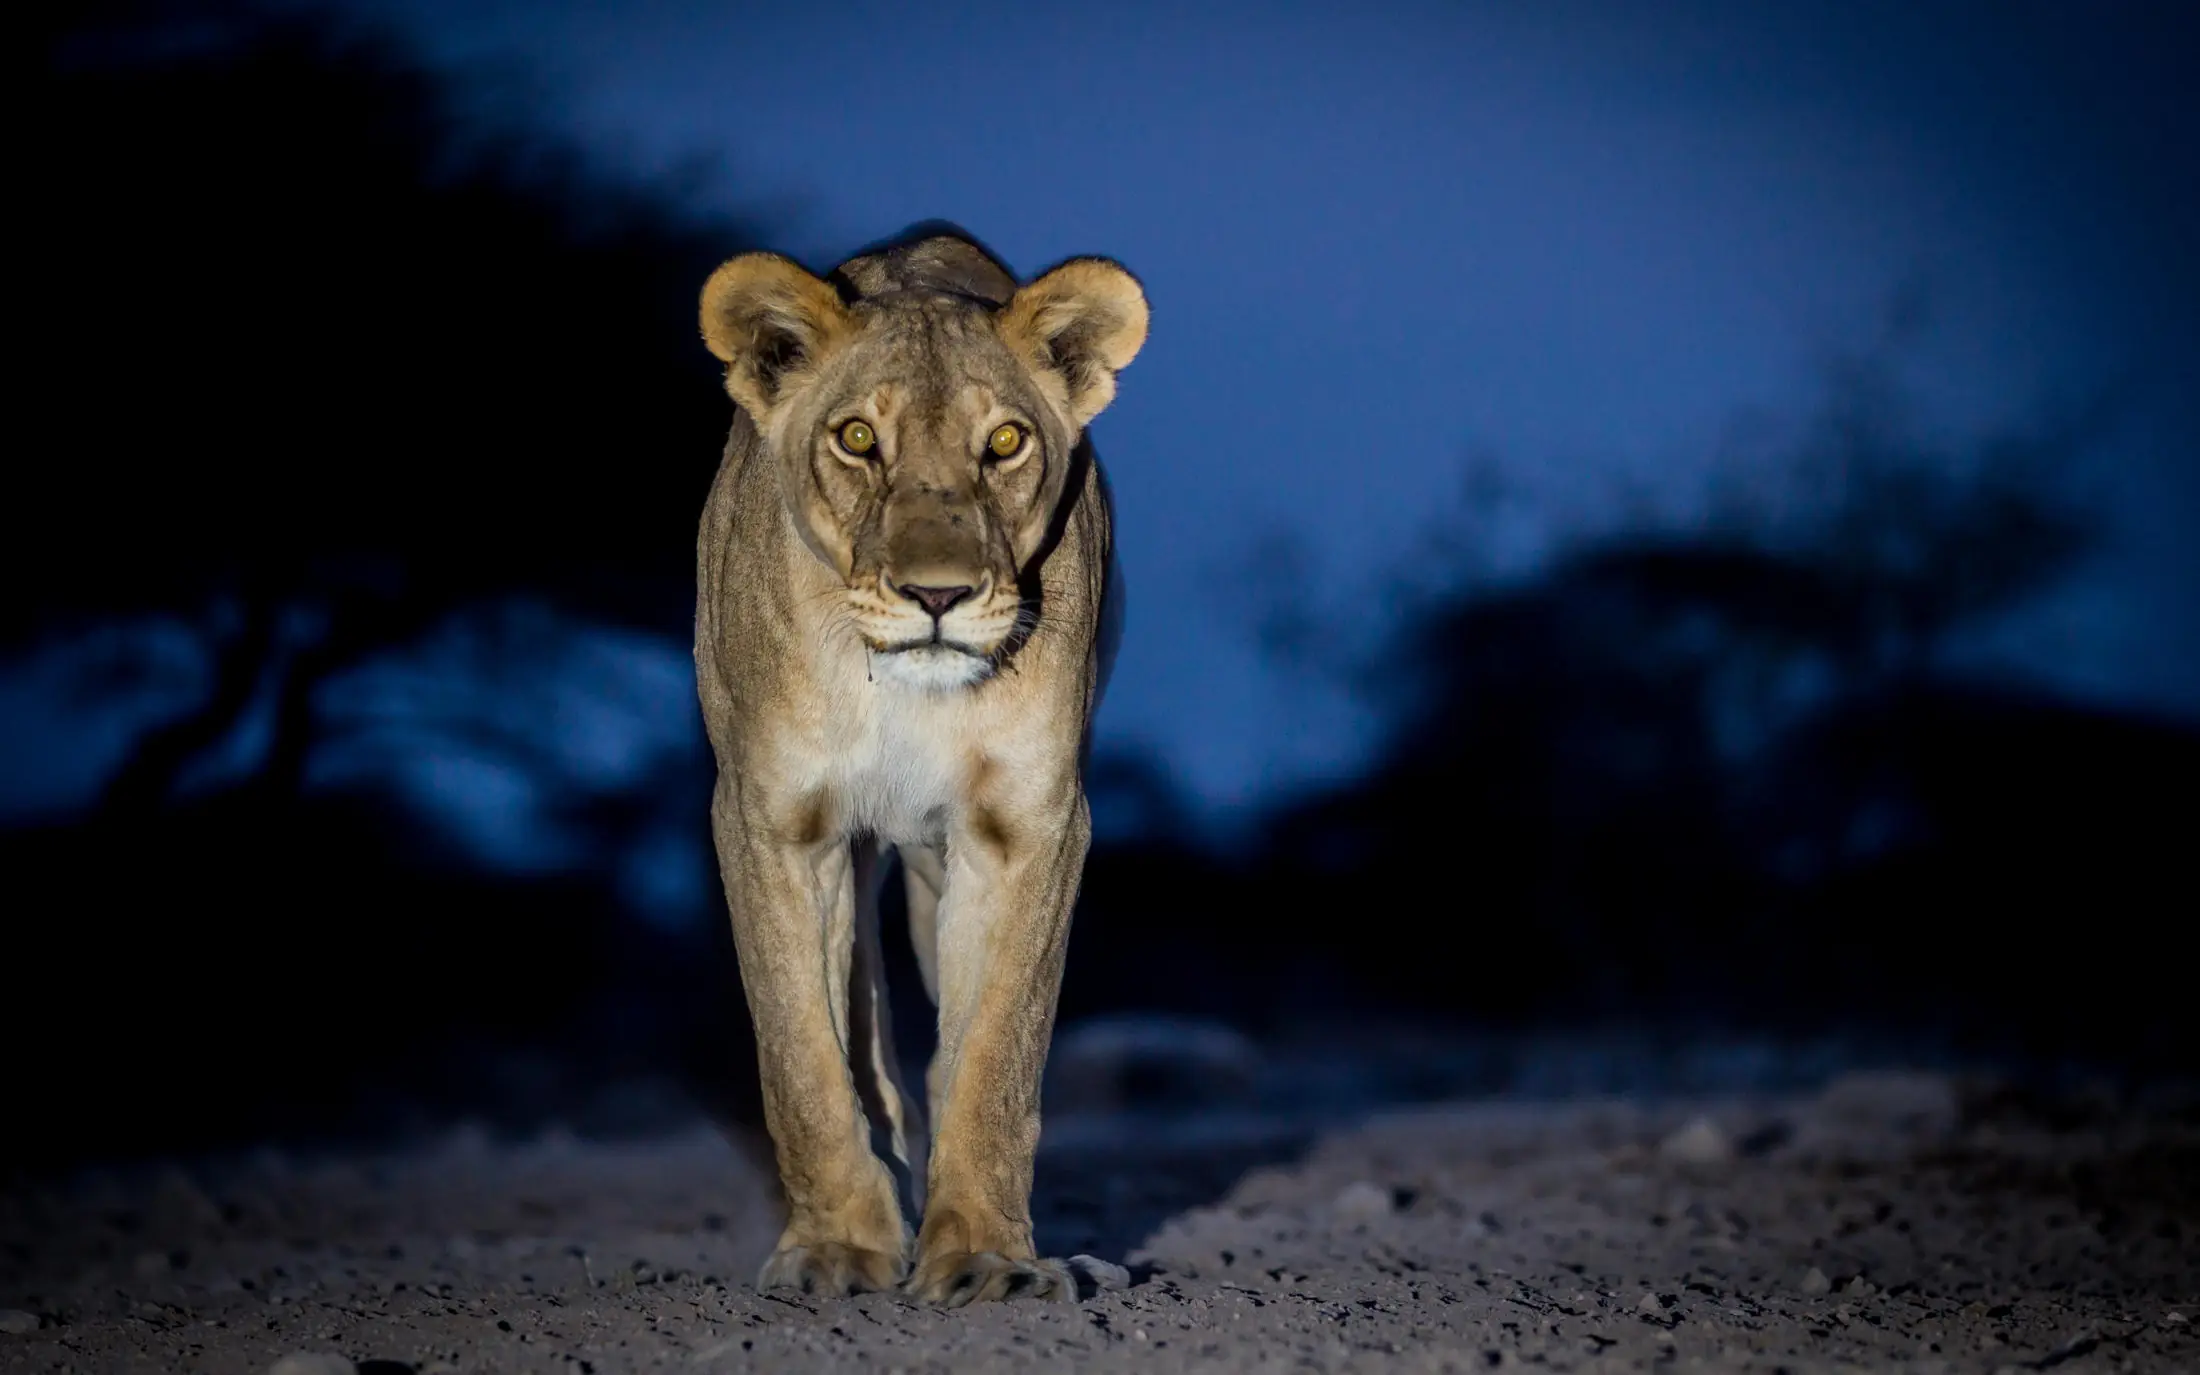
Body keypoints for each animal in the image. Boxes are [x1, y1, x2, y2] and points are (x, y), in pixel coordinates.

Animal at [692, 225, 1147, 1305]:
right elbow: (804, 1058)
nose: (937, 595)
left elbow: (993, 1057)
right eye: (858, 439)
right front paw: (835, 1247)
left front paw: (984, 1255)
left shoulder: (1026, 825)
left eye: (1006, 442)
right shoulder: (776, 821)